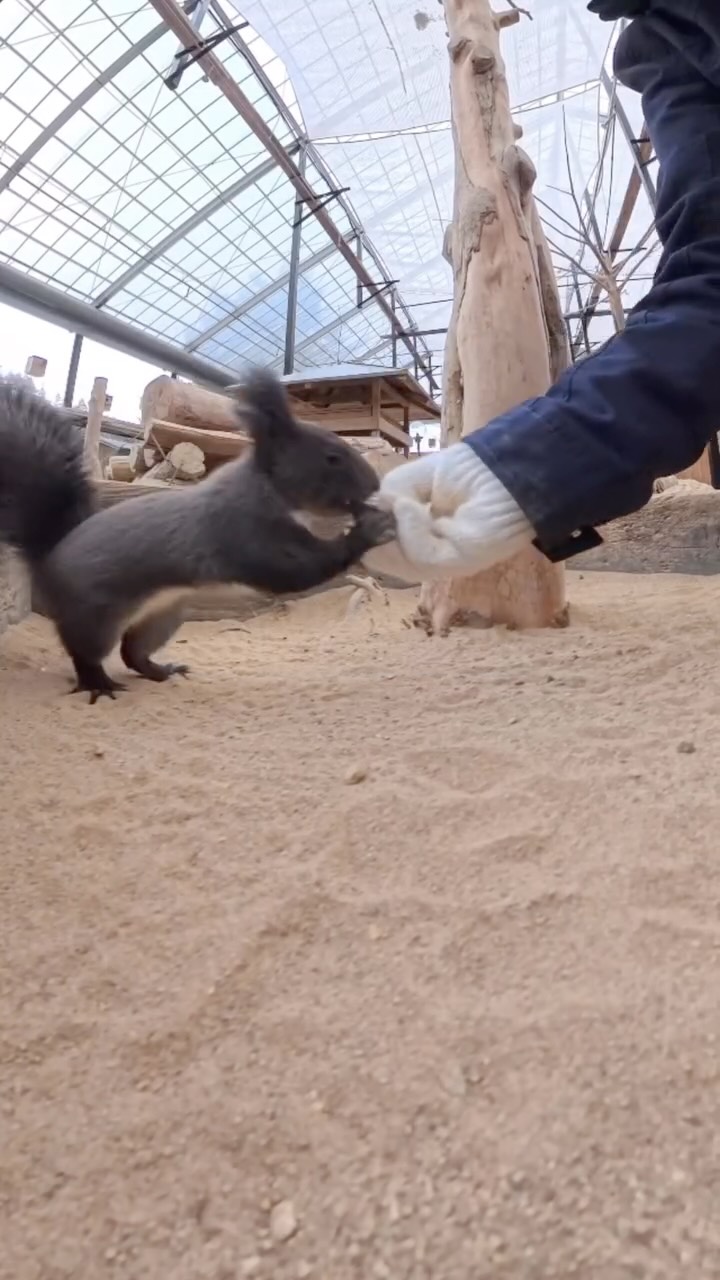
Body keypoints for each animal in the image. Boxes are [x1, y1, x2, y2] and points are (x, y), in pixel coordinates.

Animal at [0, 369, 396, 703]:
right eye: (332, 457)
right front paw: (370, 529)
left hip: (164, 615)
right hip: (95, 615)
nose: (374, 486)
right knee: (85, 652)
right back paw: (98, 684)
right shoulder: (246, 532)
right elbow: (297, 570)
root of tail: (48, 557)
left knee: (132, 652)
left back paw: (162, 671)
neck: (266, 488)